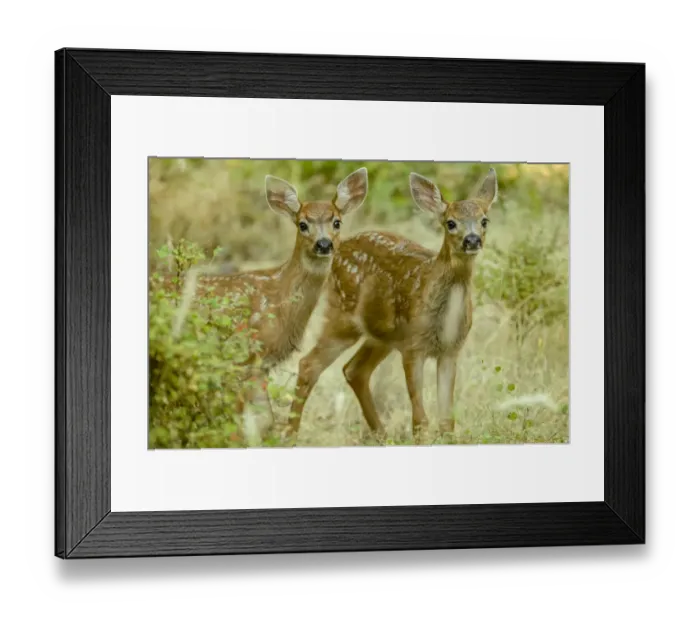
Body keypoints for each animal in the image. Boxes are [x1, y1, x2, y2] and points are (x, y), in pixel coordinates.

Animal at [173, 167, 369, 444]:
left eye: (337, 222)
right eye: (303, 224)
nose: (323, 244)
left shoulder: (262, 365)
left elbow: (265, 421)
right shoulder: (243, 358)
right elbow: (240, 422)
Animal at [288, 168, 498, 442]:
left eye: (484, 220)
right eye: (450, 223)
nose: (472, 240)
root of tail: (337, 247)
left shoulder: (451, 350)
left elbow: (446, 421)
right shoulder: (413, 346)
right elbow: (420, 420)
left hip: (382, 336)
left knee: (354, 370)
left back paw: (381, 435)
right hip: (343, 316)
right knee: (309, 364)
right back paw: (288, 435)